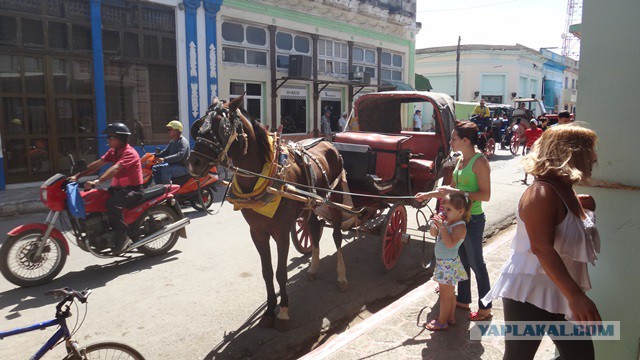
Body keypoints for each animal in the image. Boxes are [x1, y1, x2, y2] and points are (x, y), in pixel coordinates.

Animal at [189, 94, 350, 330]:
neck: (266, 179)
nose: (194, 162)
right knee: (314, 228)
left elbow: (281, 272)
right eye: (199, 125)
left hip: (335, 199)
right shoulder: (257, 233)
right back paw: (313, 268)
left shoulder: (281, 234)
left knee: (337, 236)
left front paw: (283, 311)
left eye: (222, 126)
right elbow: (267, 272)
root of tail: (328, 141)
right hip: (310, 205)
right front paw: (268, 311)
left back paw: (341, 276)